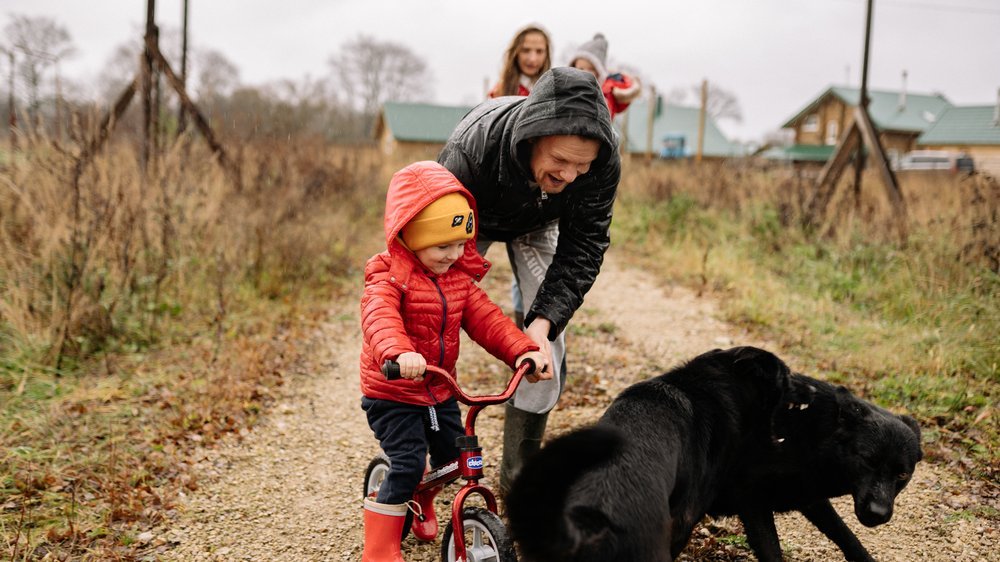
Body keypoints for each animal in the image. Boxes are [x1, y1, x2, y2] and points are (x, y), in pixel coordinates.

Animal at [508, 346, 920, 560]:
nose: (879, 513)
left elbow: (845, 536)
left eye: (902, 474)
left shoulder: (809, 497)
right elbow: (773, 551)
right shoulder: (750, 503)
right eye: (868, 461)